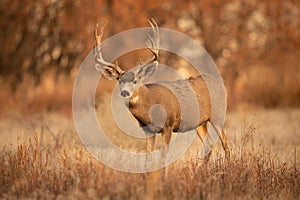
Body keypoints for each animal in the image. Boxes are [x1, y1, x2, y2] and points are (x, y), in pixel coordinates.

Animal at [94, 19, 230, 165]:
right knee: (209, 143)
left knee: (225, 144)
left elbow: (164, 158)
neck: (150, 105)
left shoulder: (168, 125)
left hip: (218, 115)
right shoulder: (147, 130)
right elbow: (147, 158)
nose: (125, 93)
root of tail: (222, 85)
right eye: (119, 81)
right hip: (200, 123)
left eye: (135, 81)